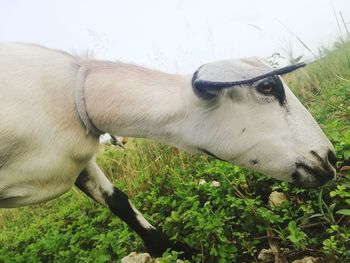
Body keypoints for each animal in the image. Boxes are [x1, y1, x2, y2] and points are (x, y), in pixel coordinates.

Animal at [0, 42, 334, 258]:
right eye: (266, 87)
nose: (330, 158)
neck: (73, 96)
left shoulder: (80, 161)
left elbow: (119, 201)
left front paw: (172, 248)